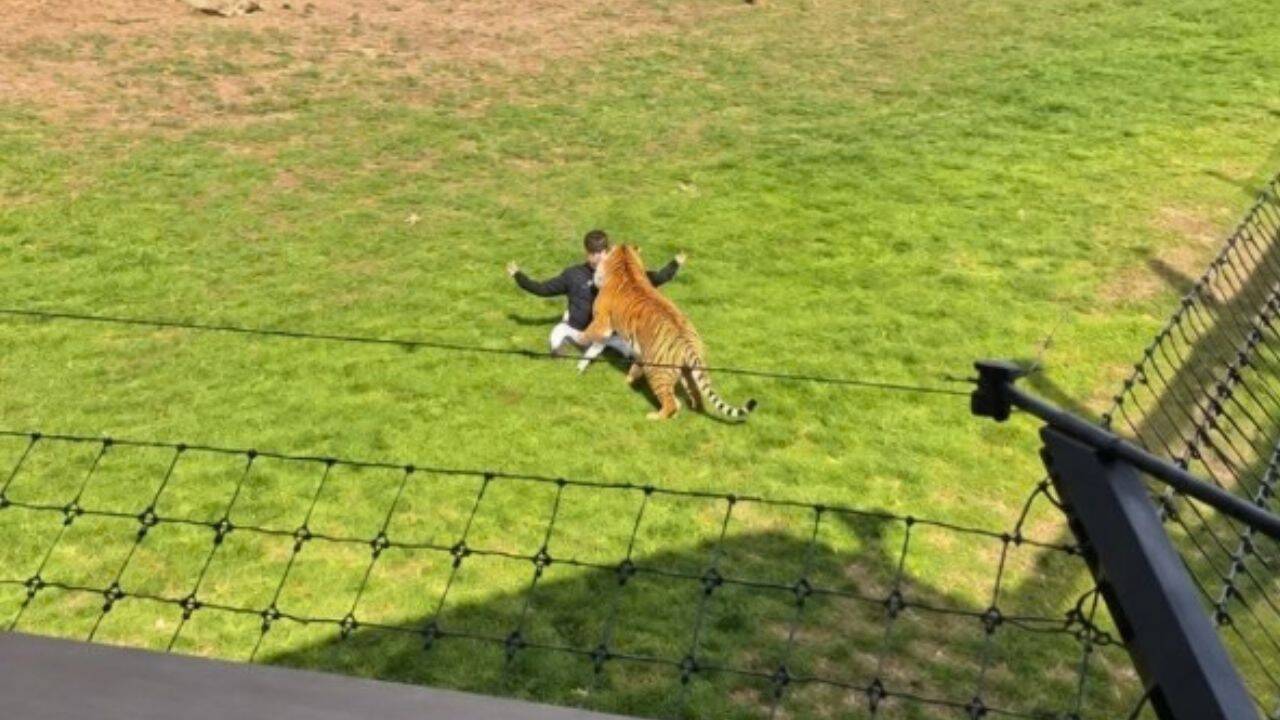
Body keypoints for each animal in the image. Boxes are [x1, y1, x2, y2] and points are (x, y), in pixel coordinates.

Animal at [581, 244, 757, 421]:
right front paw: (626, 381)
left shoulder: (602, 320)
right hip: (687, 372)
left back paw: (655, 416)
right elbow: (635, 368)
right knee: (694, 393)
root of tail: (688, 344)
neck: (625, 266)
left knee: (670, 402)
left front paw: (580, 340)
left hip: (657, 372)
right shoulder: (641, 353)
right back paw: (692, 410)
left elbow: (589, 332)